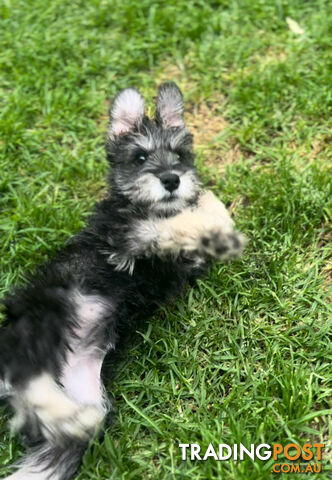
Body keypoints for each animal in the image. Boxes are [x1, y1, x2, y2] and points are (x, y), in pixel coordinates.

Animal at [0, 83, 246, 480]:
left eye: (179, 154)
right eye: (141, 157)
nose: (172, 180)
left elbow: (200, 211)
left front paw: (211, 220)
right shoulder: (126, 237)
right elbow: (167, 224)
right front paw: (209, 224)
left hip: (87, 389)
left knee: (48, 416)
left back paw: (73, 420)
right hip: (49, 313)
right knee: (22, 375)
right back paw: (67, 414)